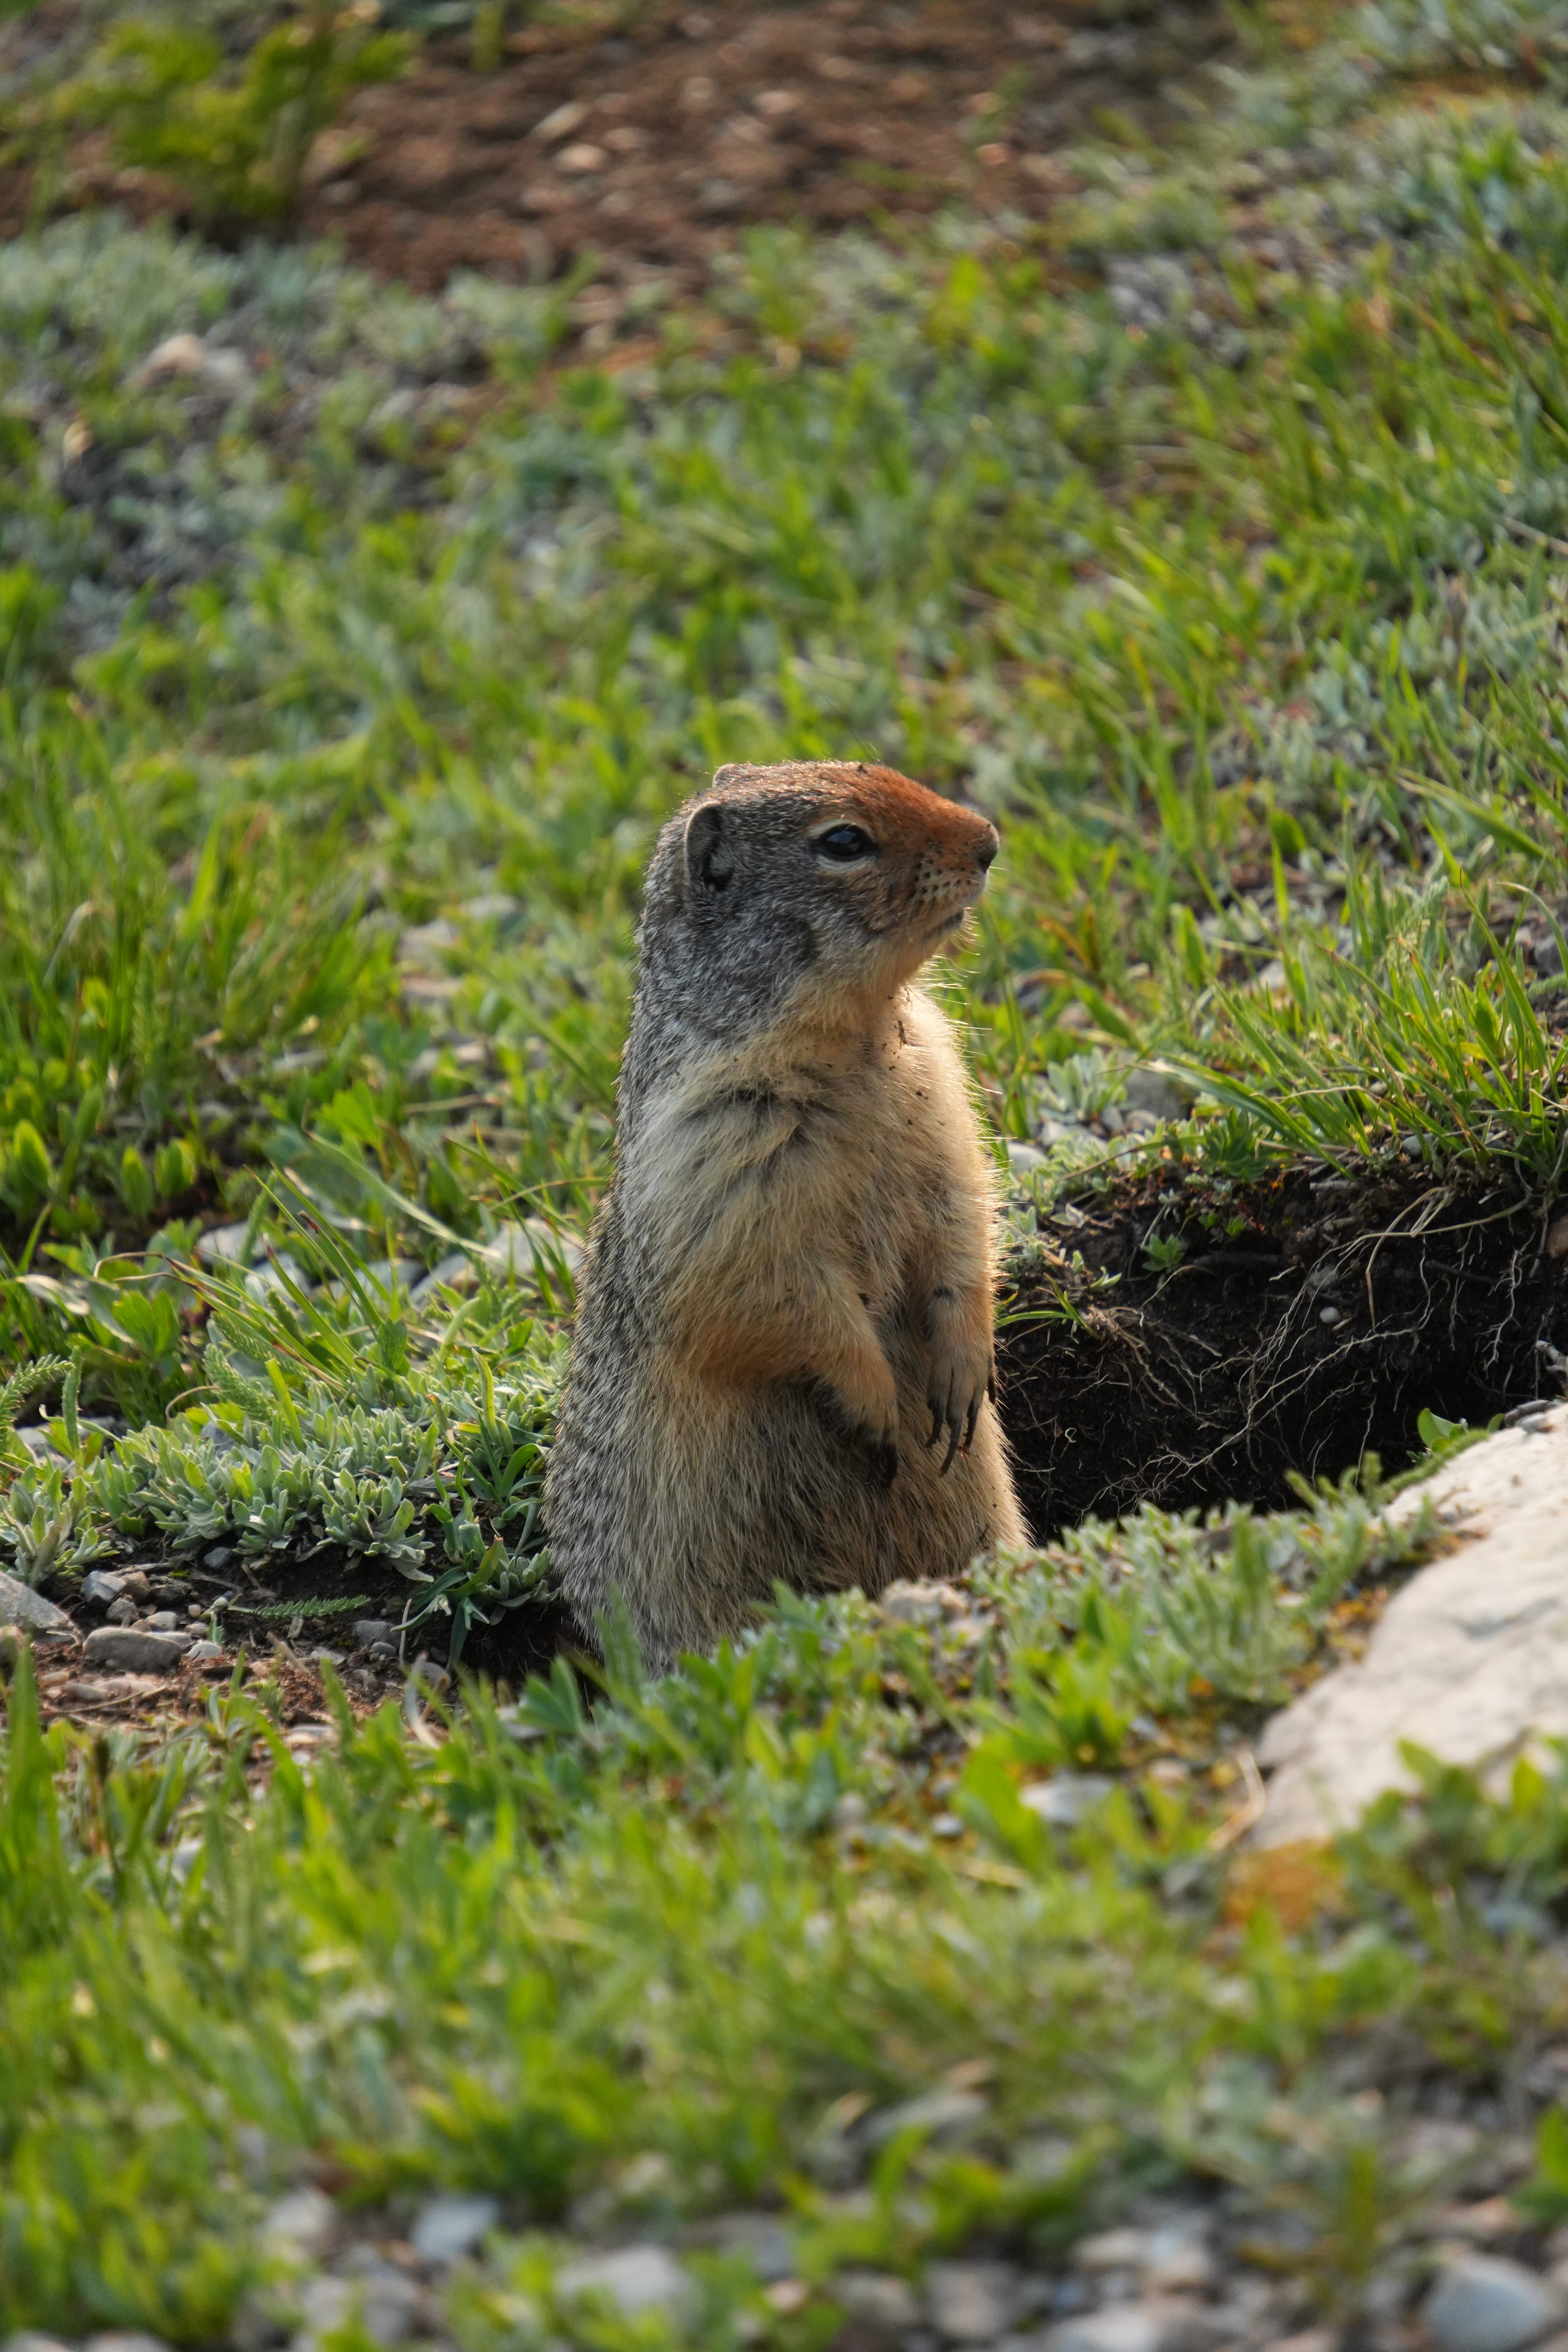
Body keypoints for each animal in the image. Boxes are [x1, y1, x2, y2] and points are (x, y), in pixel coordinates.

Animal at [543, 758, 1028, 1673]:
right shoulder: (719, 1167)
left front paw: (962, 1370)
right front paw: (876, 1407)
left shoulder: (943, 1102)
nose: (988, 842)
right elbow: (781, 1297)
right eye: (842, 841)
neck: (859, 1044)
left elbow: (962, 1222)